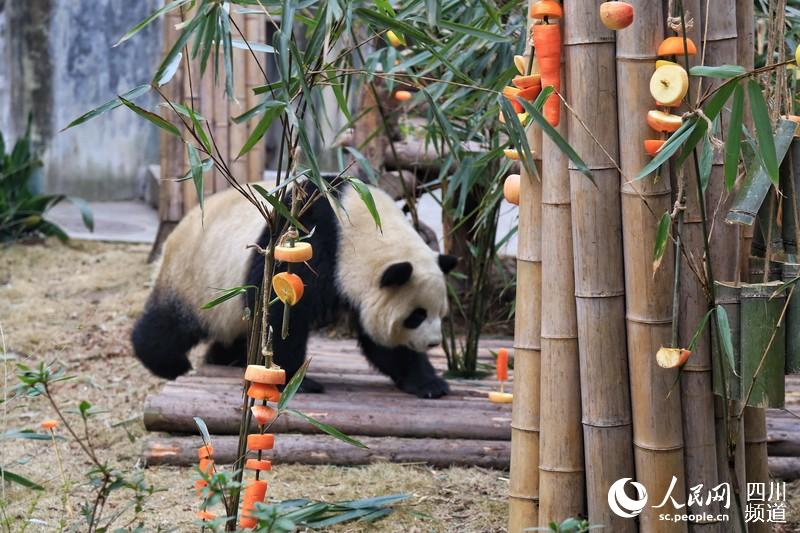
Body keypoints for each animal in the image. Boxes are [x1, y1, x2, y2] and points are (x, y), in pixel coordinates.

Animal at [131, 179, 458, 398]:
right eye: (416, 316)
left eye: (440, 314)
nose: (432, 343)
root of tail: (177, 229)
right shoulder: (306, 239)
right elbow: (280, 313)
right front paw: (295, 380)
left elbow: (384, 345)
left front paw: (429, 383)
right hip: (195, 276)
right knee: (170, 325)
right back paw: (168, 362)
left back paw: (226, 359)